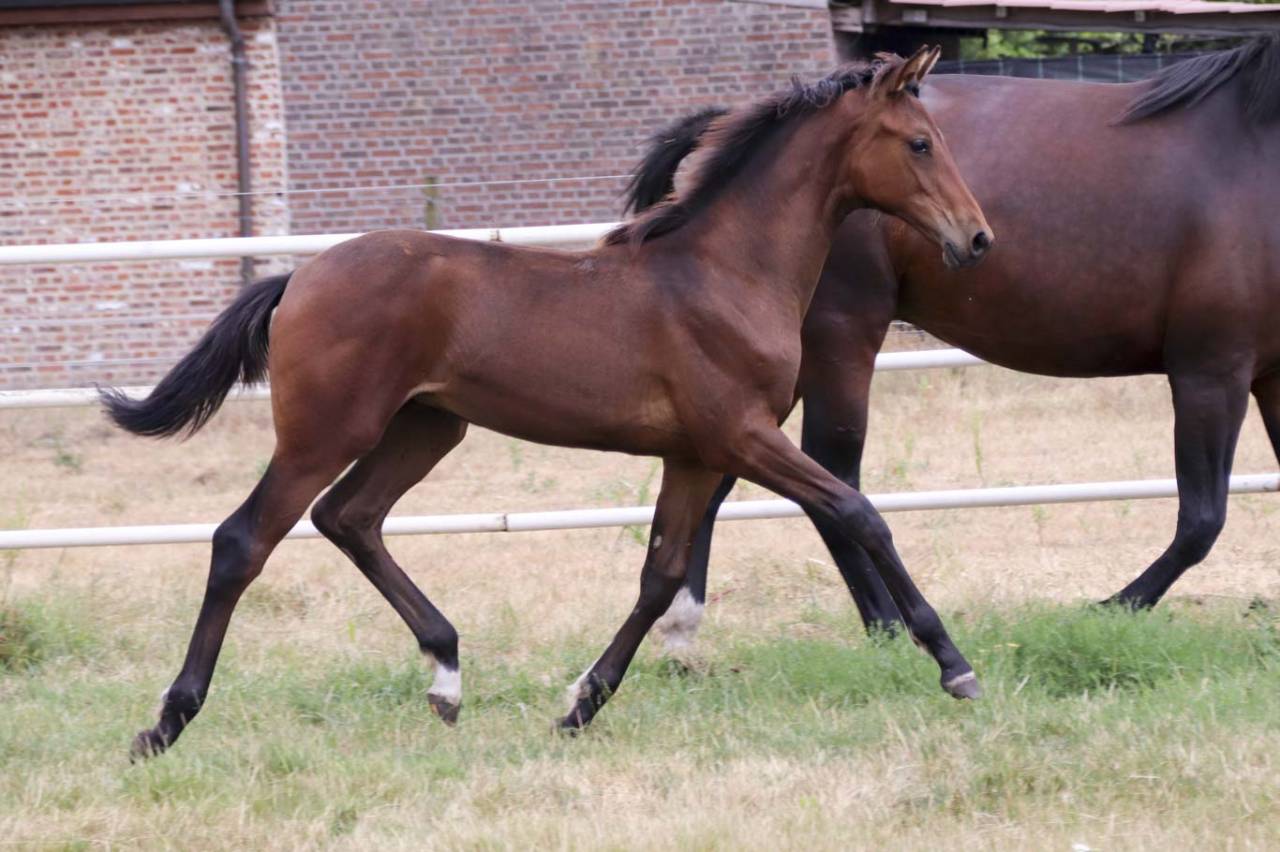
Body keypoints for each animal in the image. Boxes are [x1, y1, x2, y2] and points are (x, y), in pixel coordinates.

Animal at [102, 47, 994, 759]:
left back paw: (447, 674)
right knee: (243, 540)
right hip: (326, 432)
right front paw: (955, 665)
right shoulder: (741, 437)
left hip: (427, 427)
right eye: (919, 142)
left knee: (349, 518)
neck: (725, 272)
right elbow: (858, 511)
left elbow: (661, 575)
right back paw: (167, 722)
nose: (977, 238)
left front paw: (579, 706)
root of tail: (298, 279)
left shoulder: (693, 455)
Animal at [625, 35, 1280, 649]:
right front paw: (1106, 609)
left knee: (733, 472)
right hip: (839, 337)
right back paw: (887, 627)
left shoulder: (1269, 377)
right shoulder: (1210, 370)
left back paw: (683, 629)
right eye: (921, 146)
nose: (978, 238)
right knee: (832, 473)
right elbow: (1201, 520)